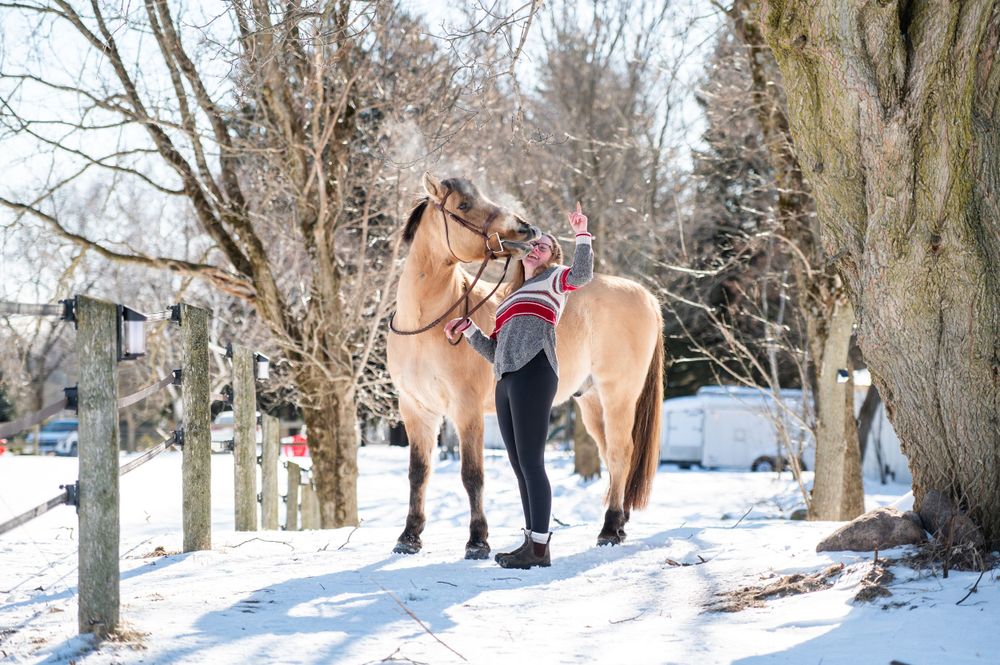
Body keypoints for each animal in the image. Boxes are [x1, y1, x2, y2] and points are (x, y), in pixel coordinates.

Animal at [387, 173, 663, 559]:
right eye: (463, 205)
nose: (524, 228)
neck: (424, 325)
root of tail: (647, 296)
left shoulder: (466, 409)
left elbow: (472, 474)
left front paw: (477, 541)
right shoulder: (416, 410)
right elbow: (418, 473)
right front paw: (409, 537)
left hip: (618, 395)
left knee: (622, 451)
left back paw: (609, 529)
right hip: (591, 401)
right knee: (611, 457)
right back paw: (619, 524)